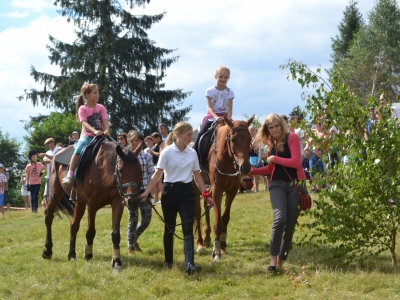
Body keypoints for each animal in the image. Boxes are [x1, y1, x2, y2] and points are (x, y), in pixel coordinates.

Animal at [41, 139, 142, 270]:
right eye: (120, 170)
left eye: (139, 171)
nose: (133, 201)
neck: (105, 169)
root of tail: (55, 155)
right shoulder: (92, 204)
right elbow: (90, 231)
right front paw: (88, 254)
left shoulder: (117, 204)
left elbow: (115, 234)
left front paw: (116, 261)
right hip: (55, 194)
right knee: (49, 218)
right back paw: (47, 250)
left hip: (80, 201)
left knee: (73, 224)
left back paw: (72, 254)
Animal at [195, 116, 255, 262]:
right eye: (233, 140)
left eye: (250, 139)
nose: (245, 168)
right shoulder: (218, 189)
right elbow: (218, 221)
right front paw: (216, 252)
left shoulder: (232, 190)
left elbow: (225, 218)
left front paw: (222, 246)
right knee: (197, 212)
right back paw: (200, 244)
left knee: (206, 204)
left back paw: (207, 237)